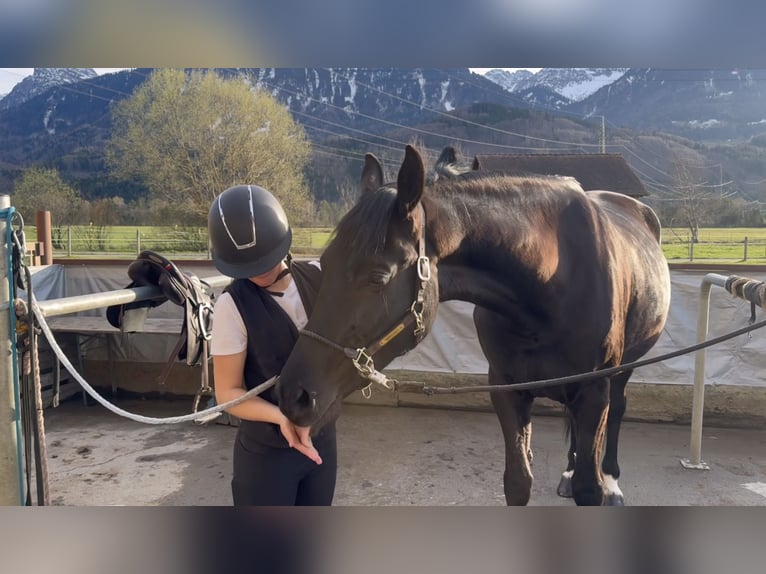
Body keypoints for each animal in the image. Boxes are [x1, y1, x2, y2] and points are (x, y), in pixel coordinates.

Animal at [276, 144, 671, 506]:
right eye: (324, 263)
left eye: (377, 277)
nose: (293, 394)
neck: (549, 287)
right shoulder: (507, 388)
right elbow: (518, 482)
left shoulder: (593, 389)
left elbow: (589, 489)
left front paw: (600, 483)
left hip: (622, 371)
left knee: (617, 410)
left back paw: (613, 481)